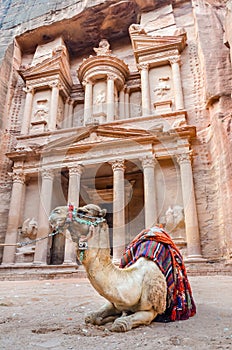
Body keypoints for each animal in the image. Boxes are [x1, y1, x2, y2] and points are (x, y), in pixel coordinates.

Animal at [49, 202, 169, 330]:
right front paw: (105, 318)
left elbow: (120, 324)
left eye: (83, 212)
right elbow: (89, 317)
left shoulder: (152, 309)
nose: (55, 211)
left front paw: (118, 318)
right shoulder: (115, 303)